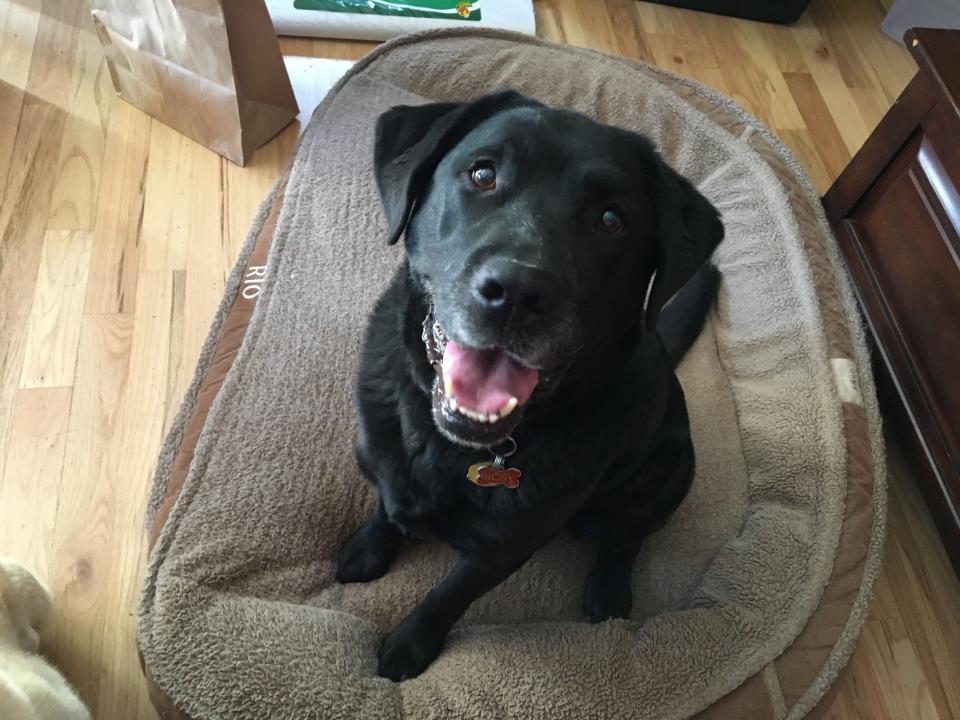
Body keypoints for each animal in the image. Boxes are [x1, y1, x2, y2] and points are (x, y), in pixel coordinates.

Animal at [338, 90, 720, 680]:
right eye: (483, 174)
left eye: (611, 219)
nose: (516, 292)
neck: (451, 445)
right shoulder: (386, 466)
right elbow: (386, 506)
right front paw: (369, 549)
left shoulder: (501, 552)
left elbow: (446, 597)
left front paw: (410, 645)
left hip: (662, 475)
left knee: (626, 535)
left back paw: (609, 590)